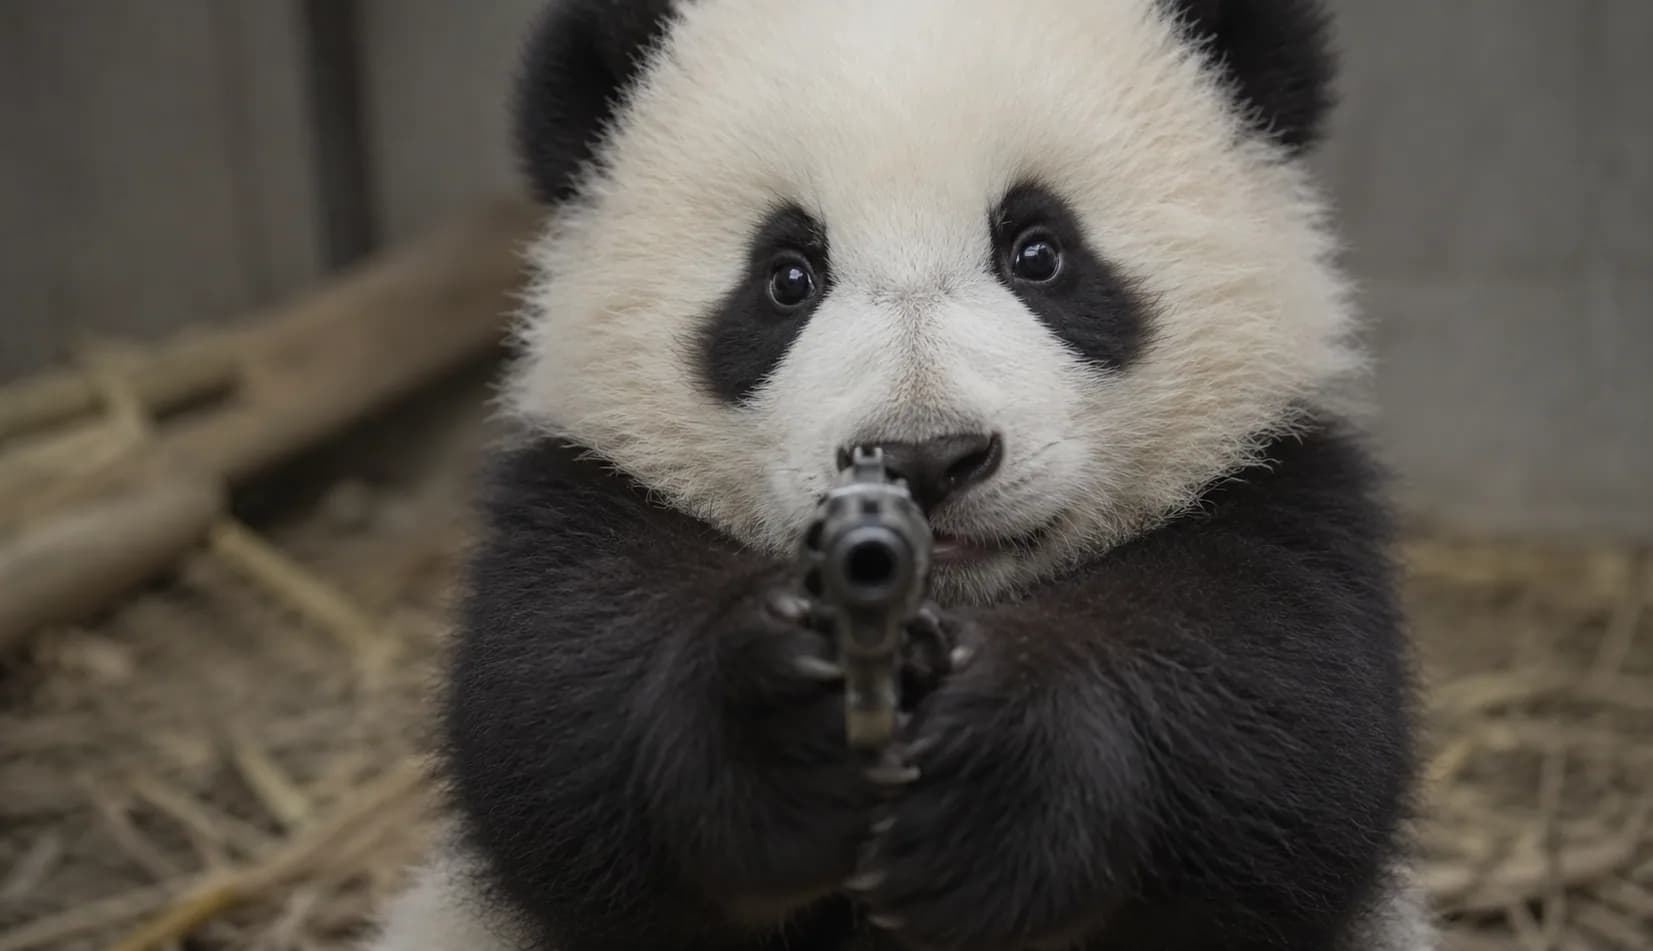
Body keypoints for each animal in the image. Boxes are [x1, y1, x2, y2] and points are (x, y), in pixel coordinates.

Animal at [368, 1, 1433, 949]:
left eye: (1038, 251)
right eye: (786, 277)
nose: (924, 455)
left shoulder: (1272, 485)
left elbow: (1290, 735)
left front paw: (1002, 780)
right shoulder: (585, 492)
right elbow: (548, 713)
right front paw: (782, 733)